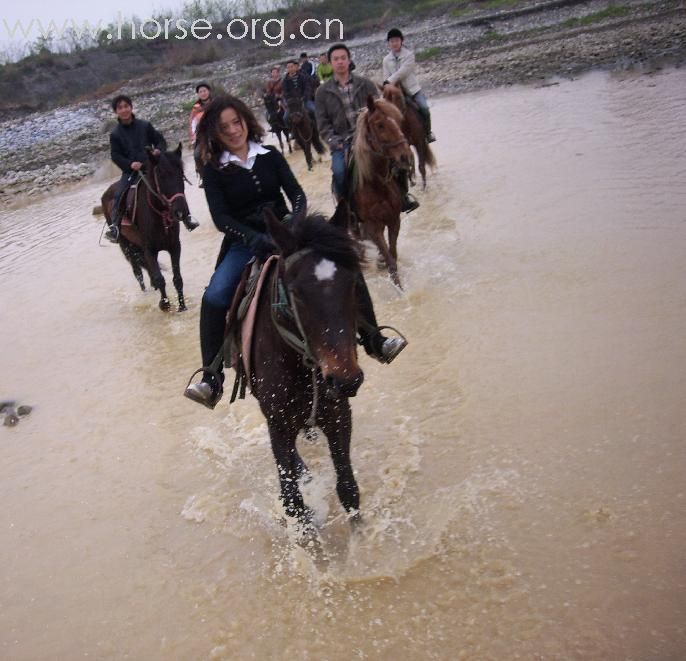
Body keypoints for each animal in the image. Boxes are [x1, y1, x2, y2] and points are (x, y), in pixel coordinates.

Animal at [101, 144, 191, 310]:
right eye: (161, 175)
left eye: (181, 174)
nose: (181, 212)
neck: (159, 215)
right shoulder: (150, 250)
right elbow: (160, 278)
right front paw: (164, 305)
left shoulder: (175, 247)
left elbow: (177, 278)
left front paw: (182, 306)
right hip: (125, 245)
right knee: (138, 272)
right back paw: (146, 293)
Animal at [354, 96, 414, 288]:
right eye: (380, 125)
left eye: (399, 120)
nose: (406, 156)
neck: (376, 185)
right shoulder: (373, 227)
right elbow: (390, 259)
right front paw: (400, 289)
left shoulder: (394, 220)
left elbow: (392, 254)